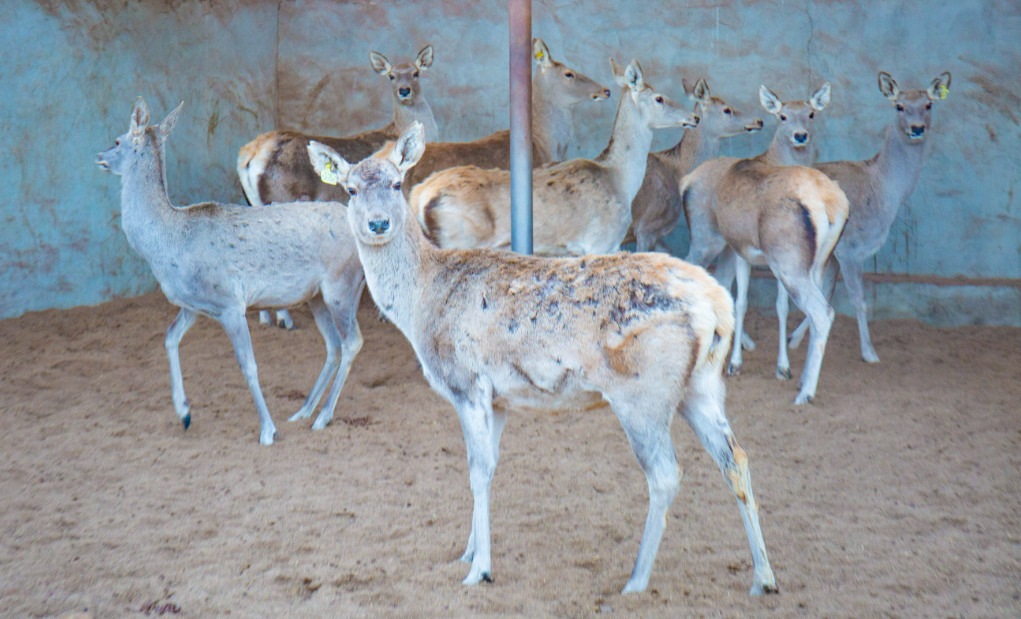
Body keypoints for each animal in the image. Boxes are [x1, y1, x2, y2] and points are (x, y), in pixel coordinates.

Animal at [97, 97, 369, 445]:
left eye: (118, 140)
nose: (100, 156)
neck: (169, 246)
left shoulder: (229, 302)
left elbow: (248, 365)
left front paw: (267, 430)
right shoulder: (194, 304)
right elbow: (170, 337)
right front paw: (184, 413)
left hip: (340, 285)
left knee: (352, 342)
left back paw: (322, 417)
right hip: (317, 295)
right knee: (333, 345)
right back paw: (303, 411)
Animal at [306, 120, 775, 596]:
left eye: (397, 183)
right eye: (350, 189)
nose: (378, 222)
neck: (420, 303)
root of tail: (715, 305)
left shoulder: (466, 383)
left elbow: (476, 470)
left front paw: (479, 570)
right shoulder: (498, 398)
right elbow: (491, 466)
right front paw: (468, 552)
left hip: (643, 390)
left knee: (665, 474)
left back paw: (636, 580)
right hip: (702, 386)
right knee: (735, 458)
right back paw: (764, 577)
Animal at [406, 60, 702, 257]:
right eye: (659, 98)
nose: (694, 117)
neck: (620, 182)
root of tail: (420, 197)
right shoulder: (601, 241)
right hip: (460, 238)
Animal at [677, 82, 845, 404]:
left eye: (811, 113)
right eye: (782, 115)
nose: (800, 135)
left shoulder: (751, 254)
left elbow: (763, 303)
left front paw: (773, 366)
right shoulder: (749, 254)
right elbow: (750, 302)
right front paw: (747, 364)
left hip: (789, 262)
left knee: (822, 312)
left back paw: (805, 391)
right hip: (725, 245)